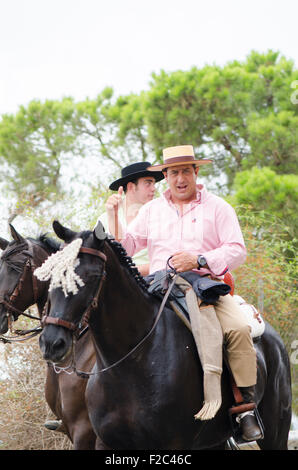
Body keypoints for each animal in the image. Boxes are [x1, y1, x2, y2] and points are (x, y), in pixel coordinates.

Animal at [38, 221, 292, 452]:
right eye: (51, 275)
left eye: (91, 276)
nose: (52, 343)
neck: (132, 363)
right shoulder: (105, 441)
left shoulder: (172, 443)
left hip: (275, 433)